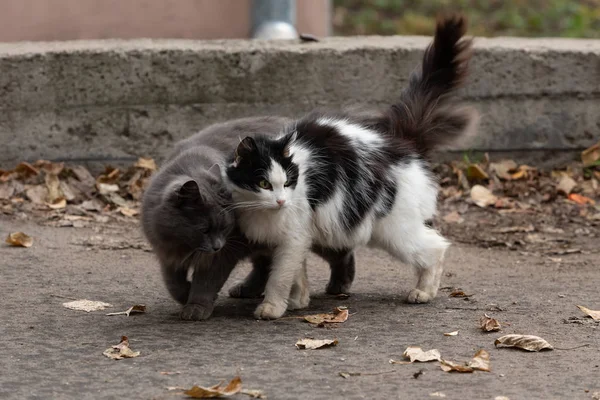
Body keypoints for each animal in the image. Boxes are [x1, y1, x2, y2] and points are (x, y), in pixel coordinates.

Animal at [141, 117, 356, 320]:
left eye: (225, 227)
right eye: (204, 229)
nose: (217, 245)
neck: (185, 246)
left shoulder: (226, 251)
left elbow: (207, 281)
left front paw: (196, 306)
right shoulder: (166, 253)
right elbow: (172, 282)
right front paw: (185, 294)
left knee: (341, 250)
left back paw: (340, 284)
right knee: (265, 265)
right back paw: (247, 289)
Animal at [223, 15, 480, 318]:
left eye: (286, 183)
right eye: (263, 183)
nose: (281, 201)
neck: (262, 211)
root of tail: (397, 142)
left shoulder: (292, 237)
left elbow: (280, 277)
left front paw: (272, 307)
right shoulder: (296, 238)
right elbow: (297, 273)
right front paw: (299, 301)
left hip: (393, 230)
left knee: (436, 247)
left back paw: (423, 292)